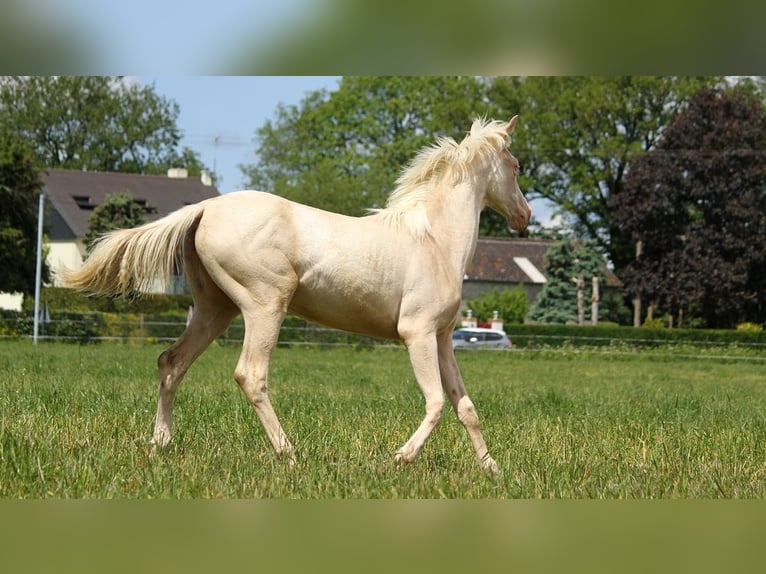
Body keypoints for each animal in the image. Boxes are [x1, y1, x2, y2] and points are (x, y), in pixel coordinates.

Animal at [60, 116, 532, 472]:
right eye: (516, 166)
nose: (525, 216)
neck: (434, 241)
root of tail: (204, 208)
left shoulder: (443, 338)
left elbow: (464, 406)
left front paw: (491, 469)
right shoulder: (416, 334)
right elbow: (436, 404)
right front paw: (399, 458)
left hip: (215, 310)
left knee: (171, 362)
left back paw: (161, 444)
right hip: (265, 305)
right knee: (250, 375)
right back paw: (289, 455)